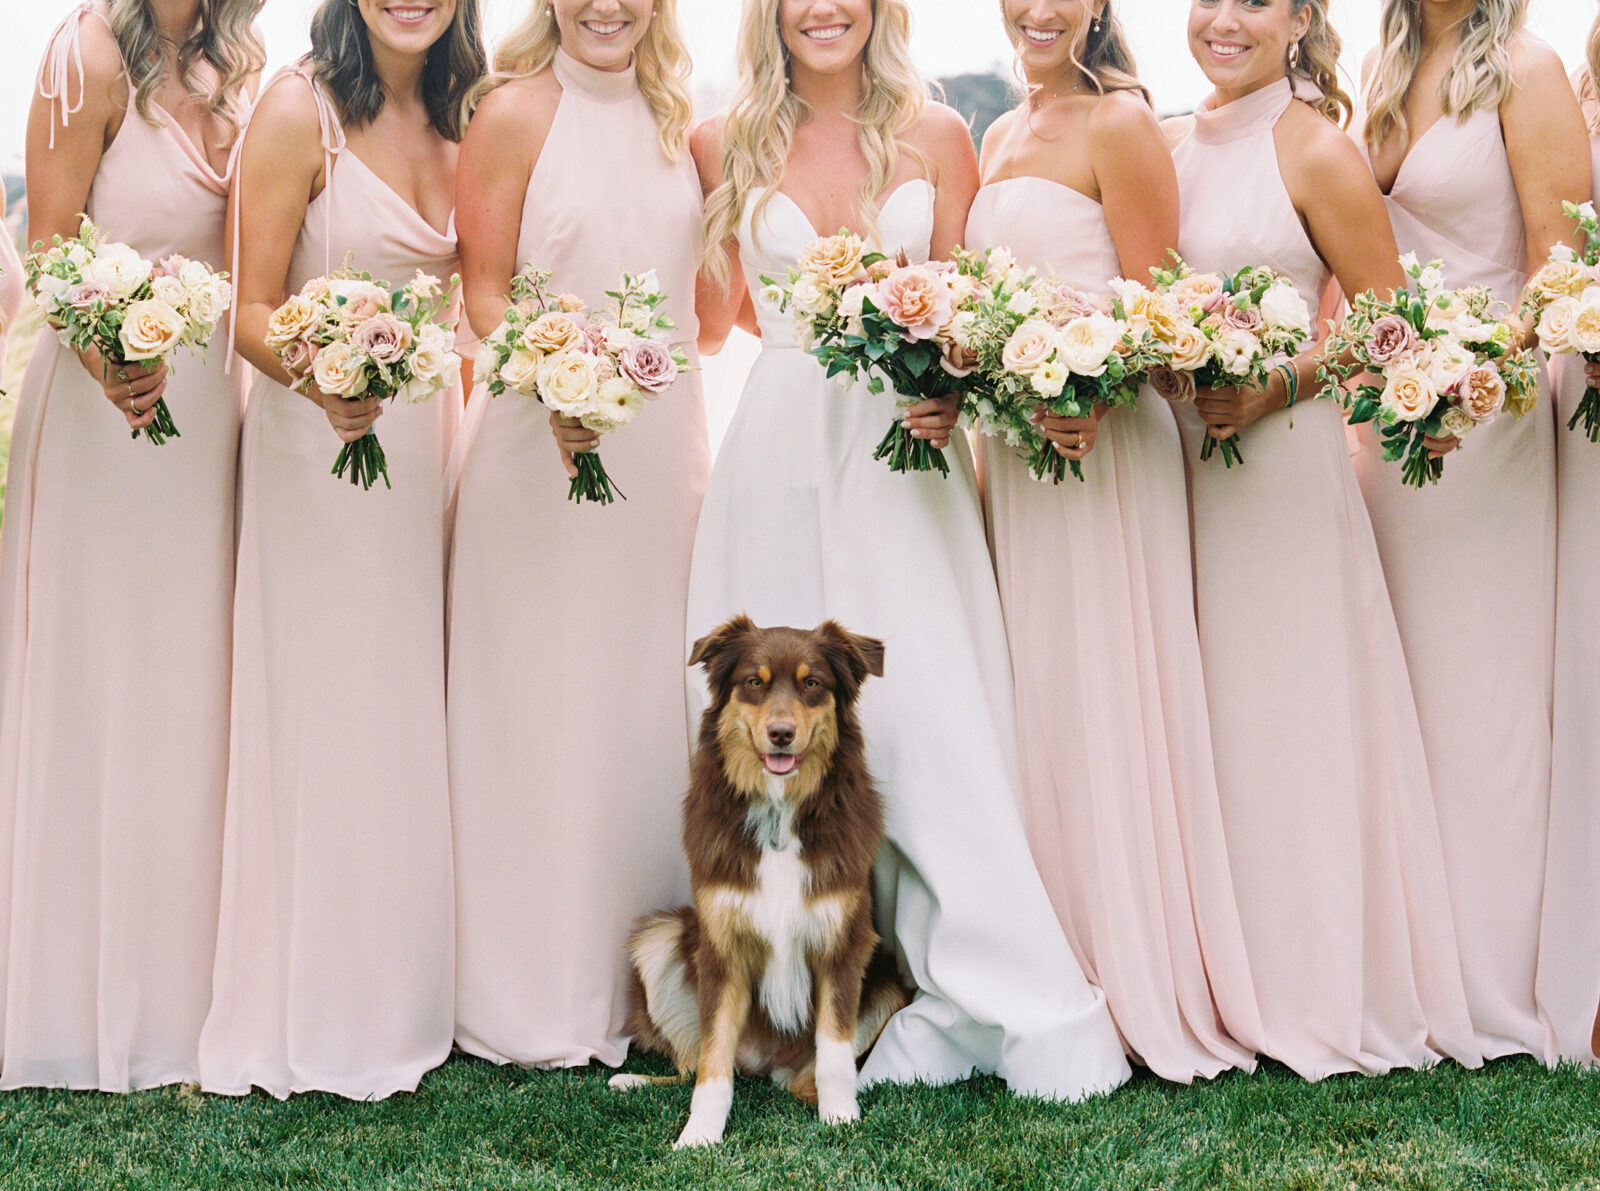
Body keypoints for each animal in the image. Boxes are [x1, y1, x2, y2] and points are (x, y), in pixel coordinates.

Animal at [608, 614, 915, 1146]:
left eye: (813, 684)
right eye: (754, 682)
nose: (781, 733)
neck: (778, 812)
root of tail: (768, 1066)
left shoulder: (844, 943)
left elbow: (835, 1055)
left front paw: (841, 1118)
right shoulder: (721, 948)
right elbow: (711, 1065)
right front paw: (699, 1135)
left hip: (889, 985)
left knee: (801, 1077)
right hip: (661, 937)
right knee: (694, 1063)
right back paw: (632, 1080)